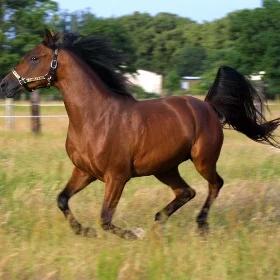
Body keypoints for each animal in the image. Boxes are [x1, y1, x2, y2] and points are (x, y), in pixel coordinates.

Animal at [0, 30, 278, 238]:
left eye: (34, 58)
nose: (4, 84)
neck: (95, 118)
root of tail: (208, 106)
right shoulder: (84, 172)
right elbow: (62, 200)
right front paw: (84, 231)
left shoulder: (116, 177)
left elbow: (105, 218)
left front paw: (134, 233)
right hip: (164, 168)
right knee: (186, 192)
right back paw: (158, 221)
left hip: (203, 160)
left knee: (215, 184)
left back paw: (199, 225)